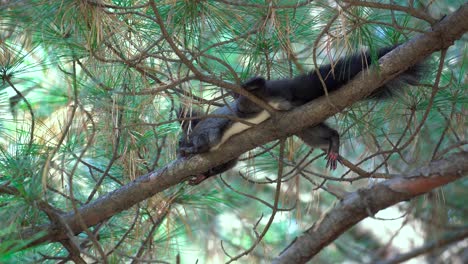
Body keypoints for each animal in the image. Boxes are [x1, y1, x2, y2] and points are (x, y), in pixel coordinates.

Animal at [178, 45, 424, 185]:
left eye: (180, 139)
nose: (179, 150)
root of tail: (289, 92)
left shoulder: (207, 130)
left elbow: (208, 142)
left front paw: (192, 150)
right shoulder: (229, 156)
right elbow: (226, 165)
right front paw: (201, 176)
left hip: (253, 103)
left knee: (257, 89)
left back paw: (247, 85)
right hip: (305, 126)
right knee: (326, 133)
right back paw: (334, 144)